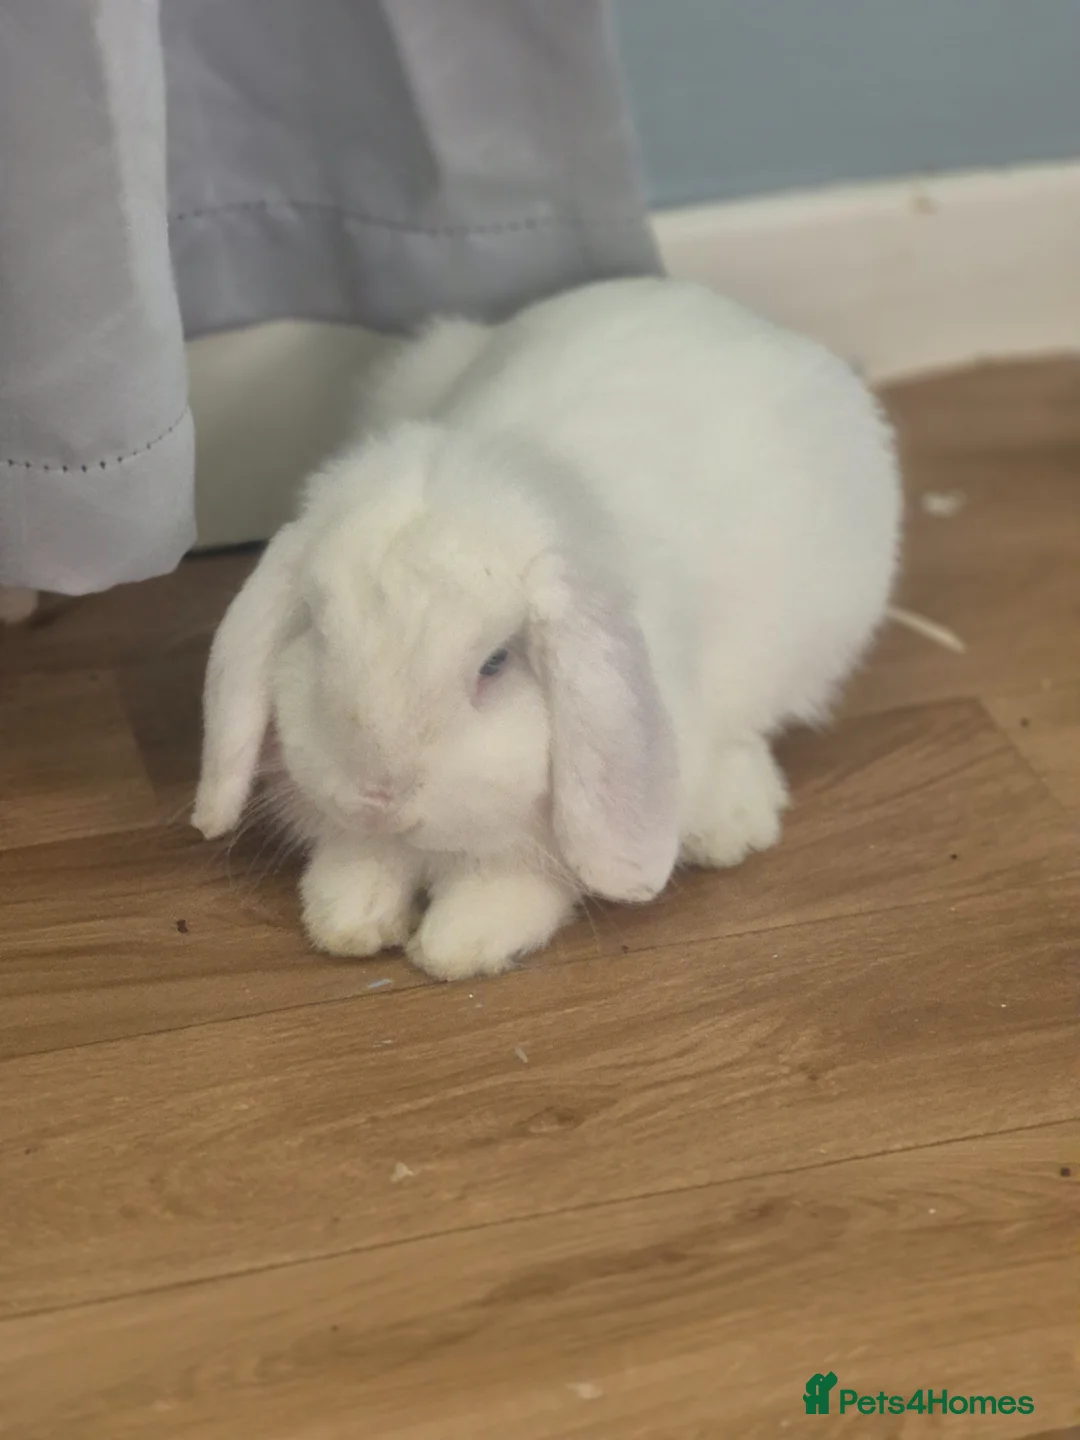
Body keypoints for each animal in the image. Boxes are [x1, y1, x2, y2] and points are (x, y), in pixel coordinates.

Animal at [192, 277, 902, 982]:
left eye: (494, 662)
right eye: (316, 629)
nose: (379, 796)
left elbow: (518, 885)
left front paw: (458, 943)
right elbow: (361, 863)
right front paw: (348, 918)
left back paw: (732, 820)